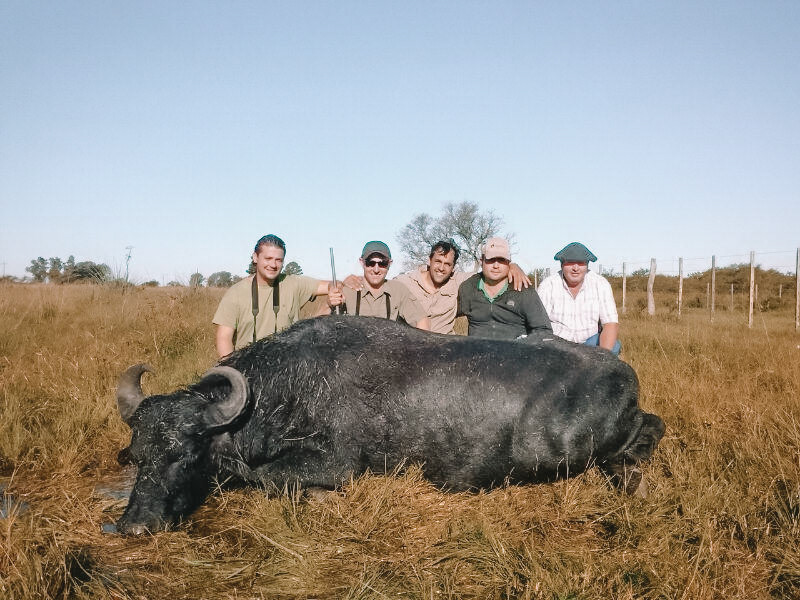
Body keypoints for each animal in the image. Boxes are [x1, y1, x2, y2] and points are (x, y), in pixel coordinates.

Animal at [115, 316, 664, 535]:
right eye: (139, 456)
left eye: (185, 454)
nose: (136, 525)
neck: (284, 387)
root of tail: (623, 374)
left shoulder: (334, 464)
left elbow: (268, 478)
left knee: (646, 436)